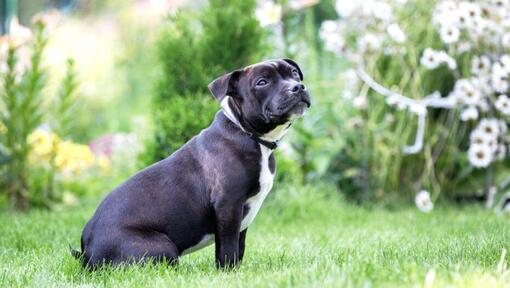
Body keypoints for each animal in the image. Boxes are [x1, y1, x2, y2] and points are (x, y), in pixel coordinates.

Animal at [72, 59, 310, 270]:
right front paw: (229, 272)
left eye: (294, 73)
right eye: (262, 82)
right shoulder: (228, 204)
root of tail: (87, 251)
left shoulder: (244, 215)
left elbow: (239, 245)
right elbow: (228, 246)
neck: (247, 133)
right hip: (162, 247)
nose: (298, 87)